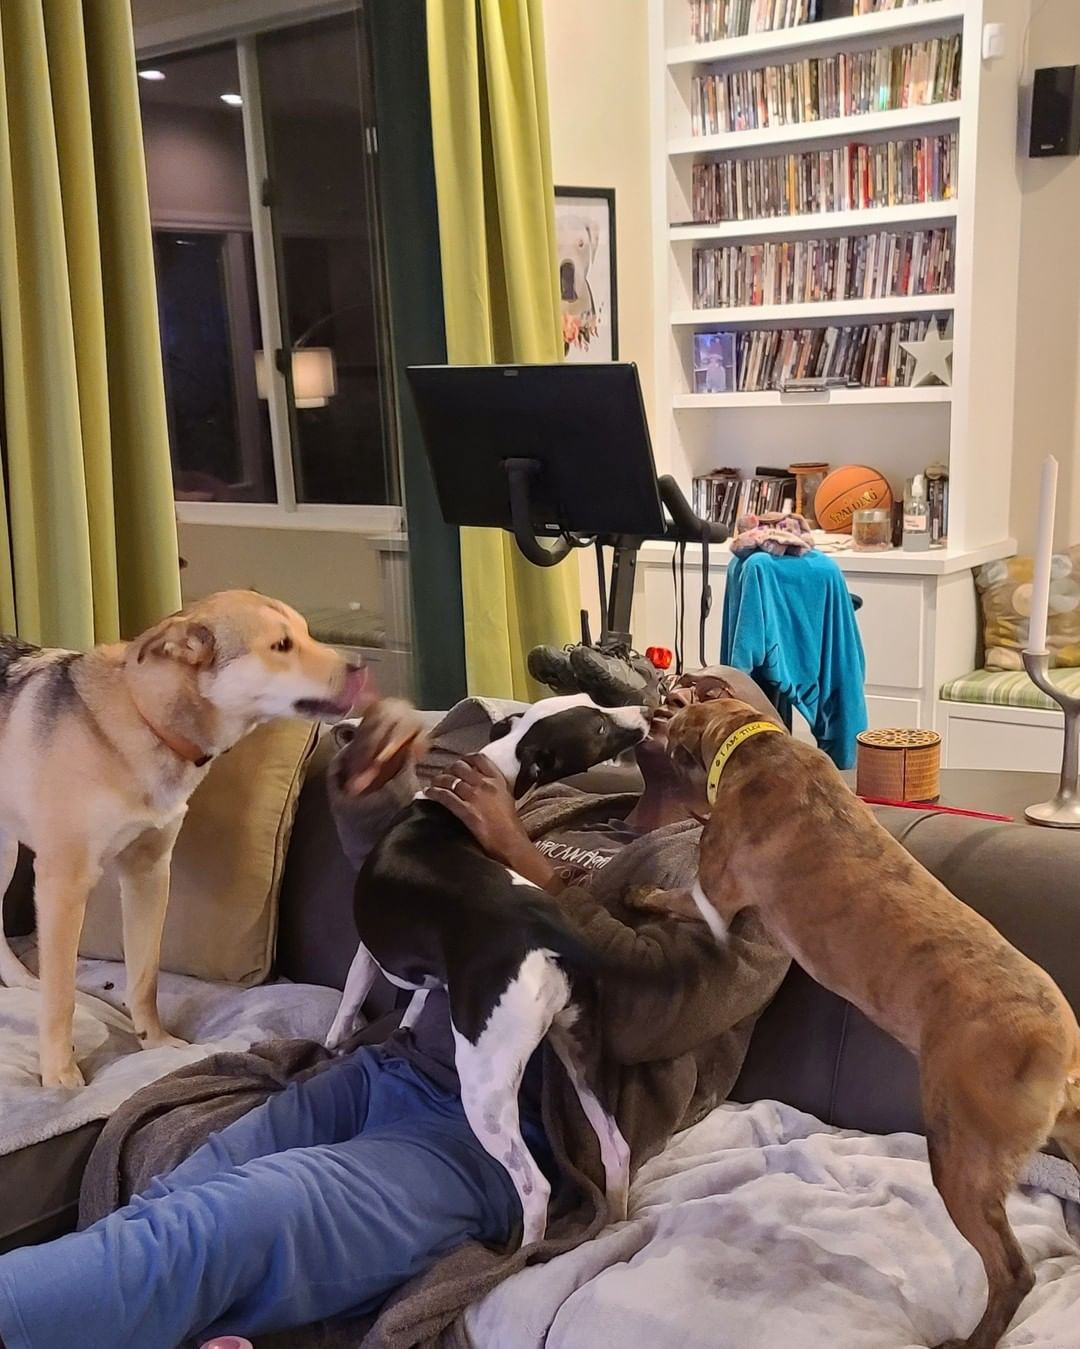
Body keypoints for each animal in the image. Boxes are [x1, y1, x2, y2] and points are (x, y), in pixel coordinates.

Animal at [0, 590, 368, 1089]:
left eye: (308, 633)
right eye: (281, 646)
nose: (361, 667)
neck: (143, 718)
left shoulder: (150, 873)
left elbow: (145, 976)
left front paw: (155, 1042)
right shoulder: (65, 882)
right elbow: (61, 996)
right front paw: (59, 1074)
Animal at [327, 693, 652, 1245]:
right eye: (598, 720)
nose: (649, 713)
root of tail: (546, 926)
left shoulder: (369, 953)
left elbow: (350, 1002)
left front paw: (334, 1044)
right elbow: (418, 999)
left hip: (486, 1092)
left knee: (536, 1187)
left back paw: (526, 1250)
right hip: (580, 1054)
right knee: (616, 1148)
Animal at [665, 698, 1080, 1349]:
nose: (655, 714)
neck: (751, 744)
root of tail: (1059, 1055)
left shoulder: (712, 896)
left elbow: (659, 896)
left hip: (960, 1160)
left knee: (1012, 1273)